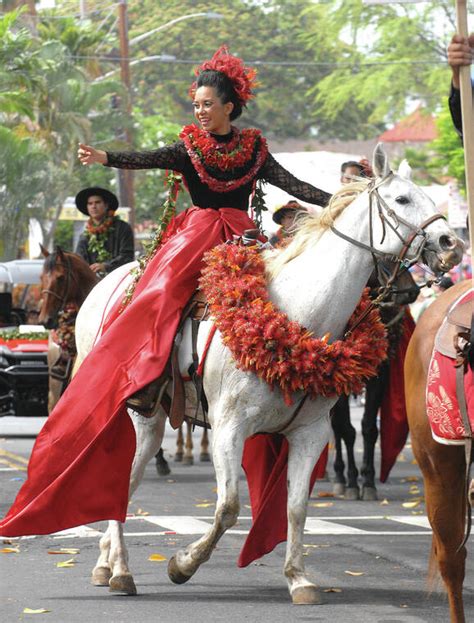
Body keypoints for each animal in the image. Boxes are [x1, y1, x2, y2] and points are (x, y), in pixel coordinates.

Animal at [72, 146, 462, 604]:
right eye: (401, 199)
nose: (452, 244)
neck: (298, 314)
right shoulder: (228, 428)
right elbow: (228, 508)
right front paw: (182, 564)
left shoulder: (310, 434)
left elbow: (296, 507)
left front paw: (299, 578)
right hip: (140, 415)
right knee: (124, 478)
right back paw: (120, 570)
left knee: (129, 481)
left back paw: (106, 561)